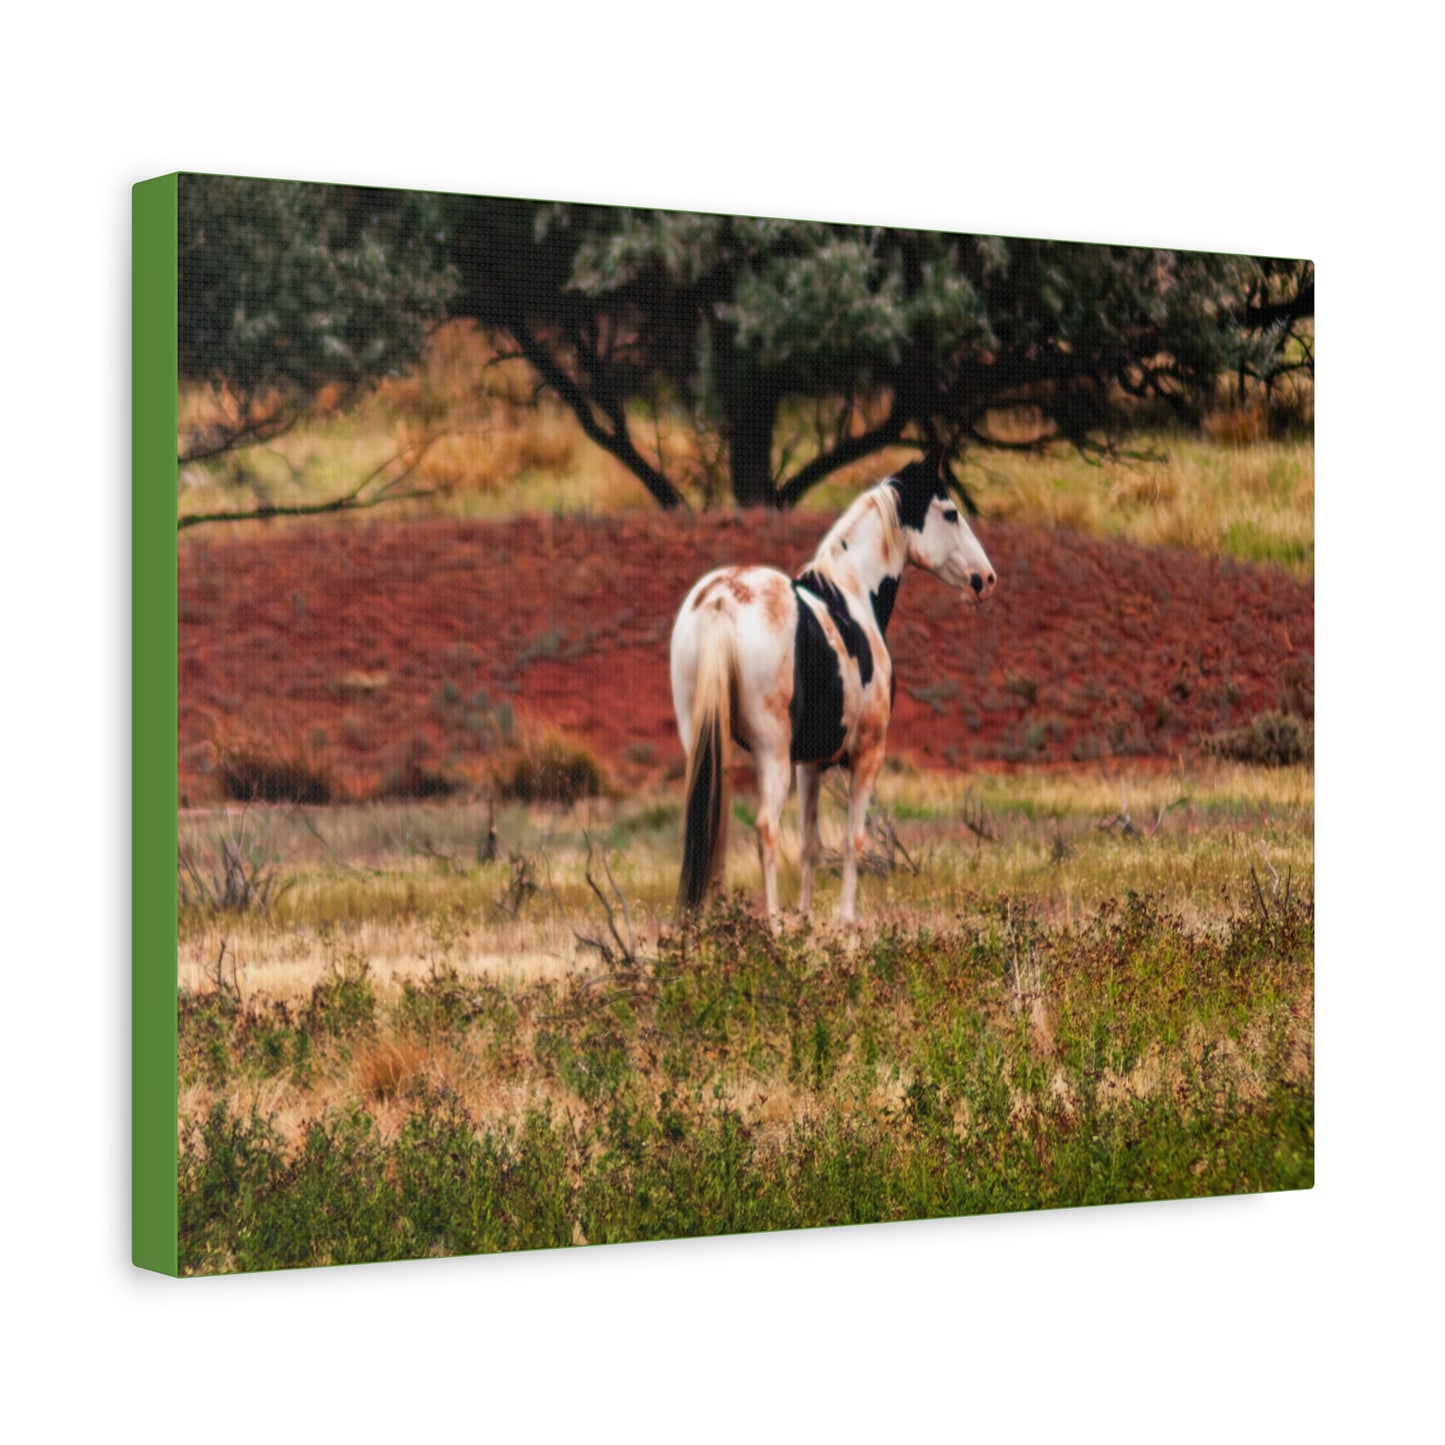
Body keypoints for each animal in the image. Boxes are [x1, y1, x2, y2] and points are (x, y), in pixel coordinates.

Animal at [669, 457, 996, 925]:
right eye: (950, 513)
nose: (985, 579)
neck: (852, 594)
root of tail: (720, 601)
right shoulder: (866, 755)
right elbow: (851, 841)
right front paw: (846, 922)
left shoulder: (809, 764)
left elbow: (811, 845)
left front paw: (806, 920)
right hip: (770, 752)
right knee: (767, 828)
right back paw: (772, 925)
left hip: (705, 742)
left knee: (712, 823)